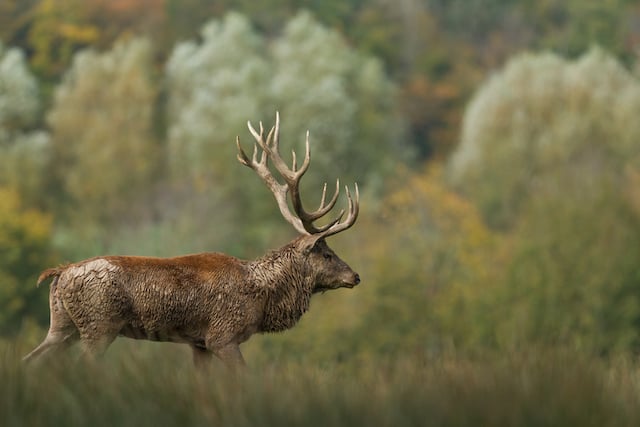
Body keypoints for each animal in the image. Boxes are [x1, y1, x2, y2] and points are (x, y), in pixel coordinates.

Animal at [22, 113, 360, 368]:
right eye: (327, 253)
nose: (355, 276)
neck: (261, 299)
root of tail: (60, 273)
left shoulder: (199, 344)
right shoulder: (223, 336)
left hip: (62, 325)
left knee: (31, 360)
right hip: (99, 326)